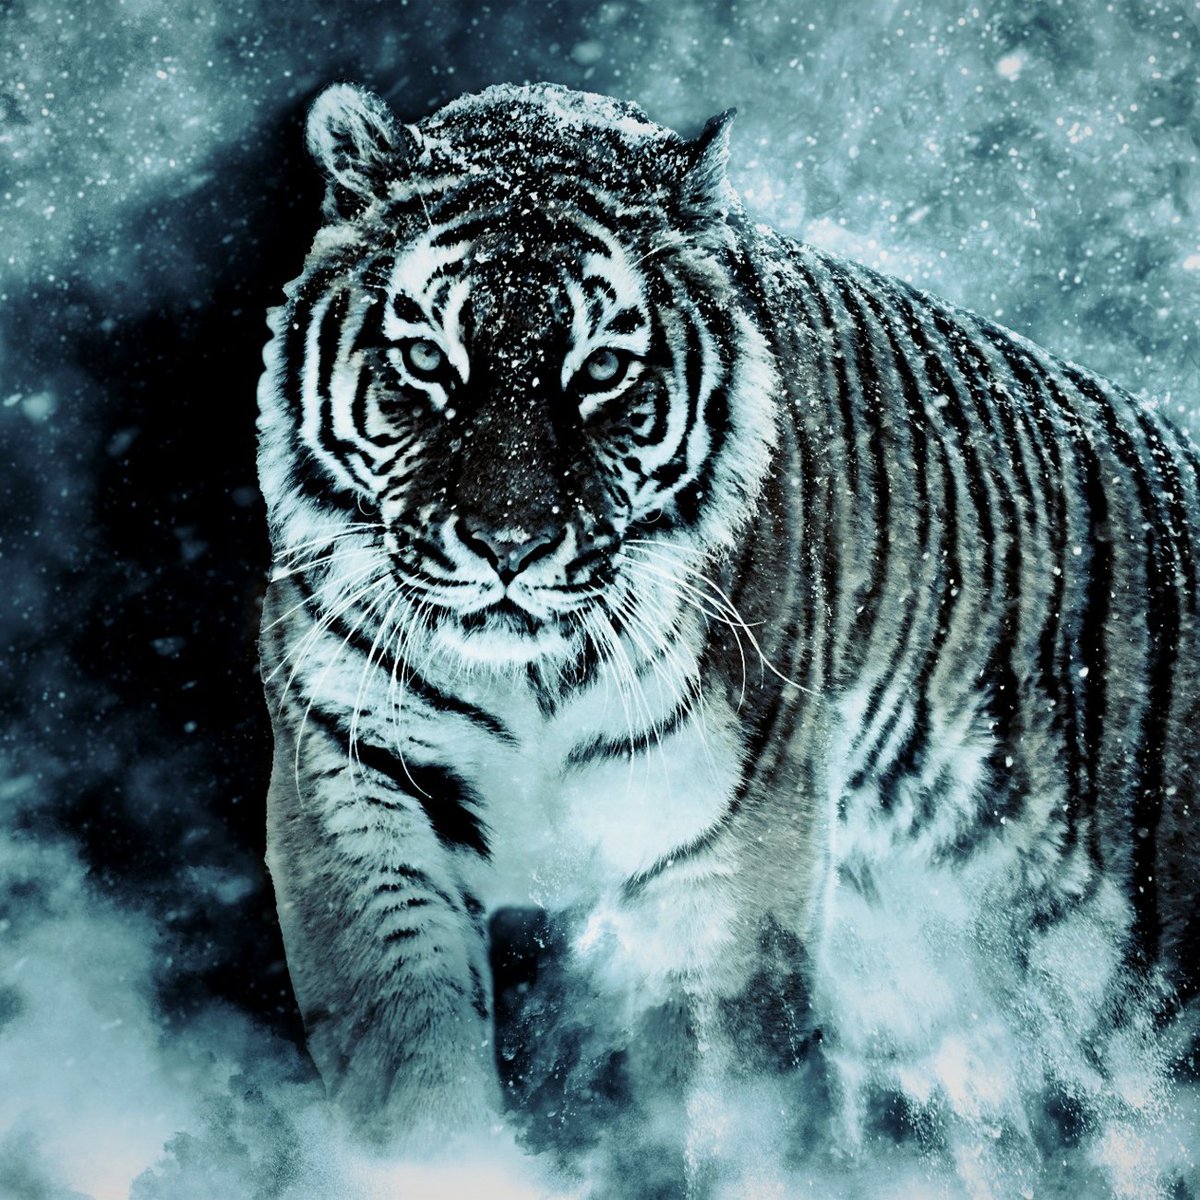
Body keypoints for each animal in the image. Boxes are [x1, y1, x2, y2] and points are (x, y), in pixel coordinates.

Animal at [257, 80, 1200, 1197]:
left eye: (602, 371)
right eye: (426, 360)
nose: (508, 543)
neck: (533, 679)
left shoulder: (731, 854)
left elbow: (729, 1096)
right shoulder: (354, 793)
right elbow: (407, 1067)